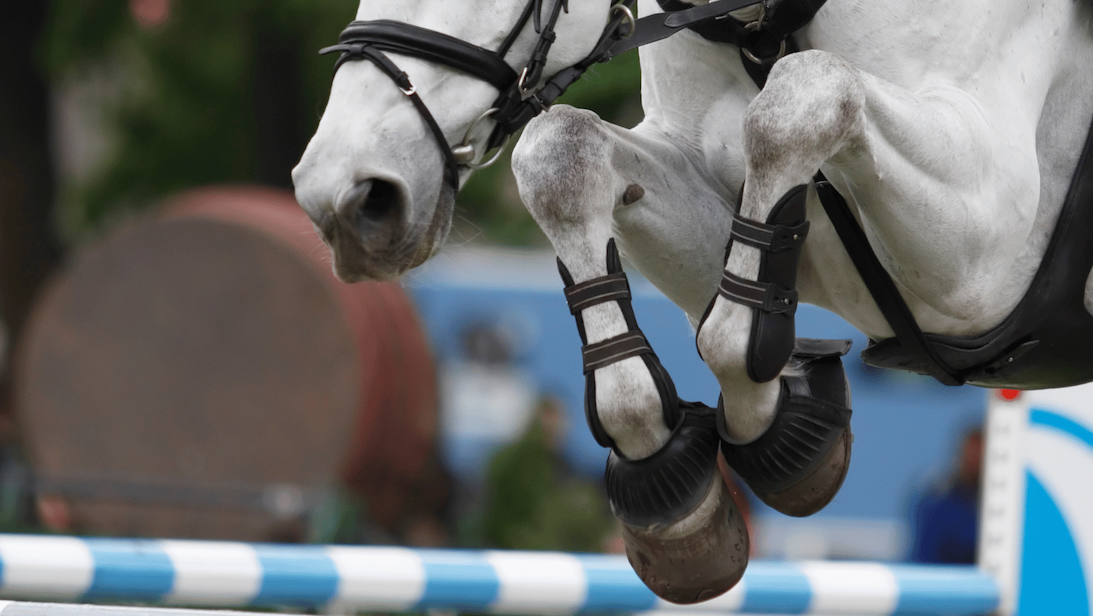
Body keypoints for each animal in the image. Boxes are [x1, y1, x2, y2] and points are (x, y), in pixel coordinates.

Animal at [292, 0, 1093, 604]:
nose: (346, 194)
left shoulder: (982, 260)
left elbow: (800, 98)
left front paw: (777, 421)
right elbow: (560, 151)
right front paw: (682, 463)